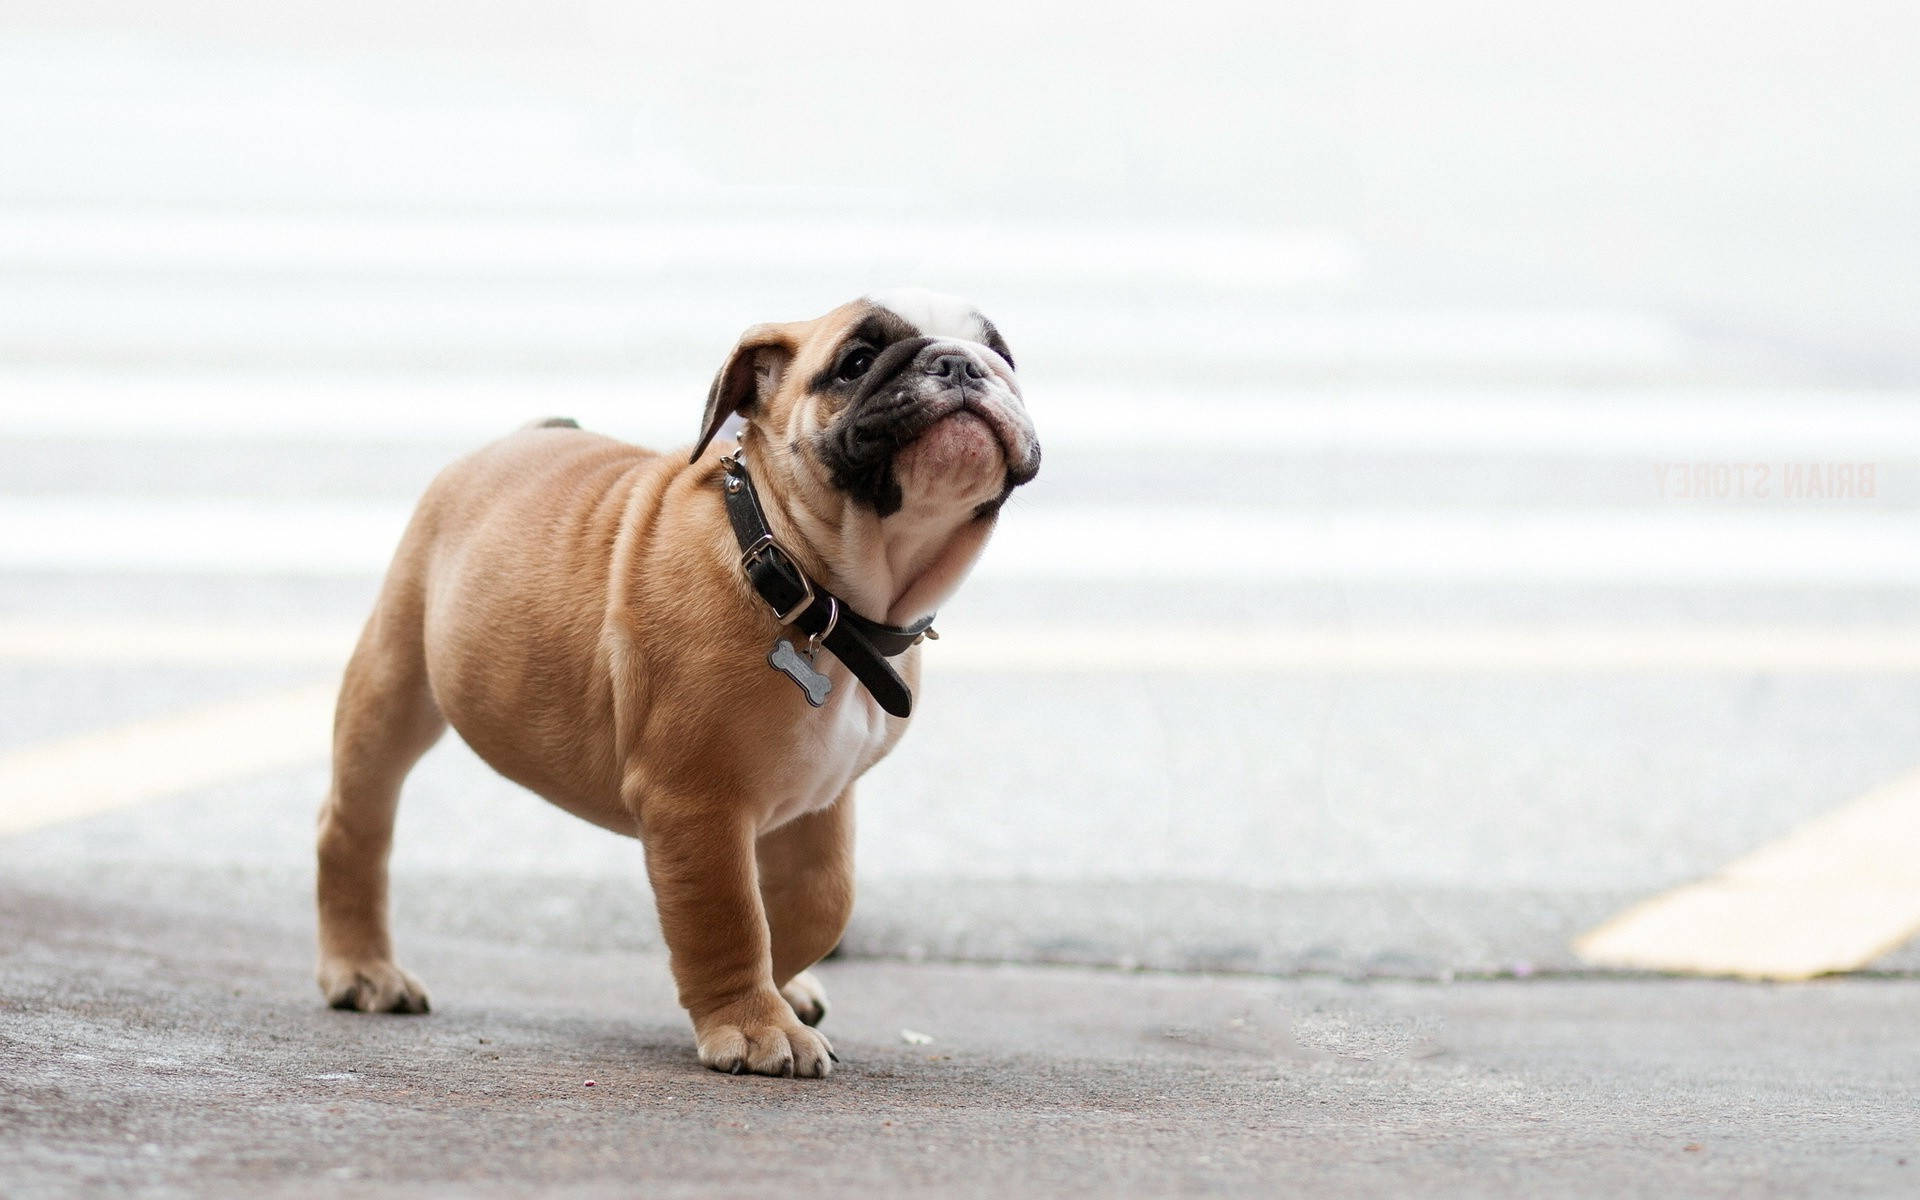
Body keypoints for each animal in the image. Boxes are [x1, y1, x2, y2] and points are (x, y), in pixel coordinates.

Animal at [314, 288, 1036, 1075]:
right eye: (856, 362)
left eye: (1003, 353)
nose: (960, 363)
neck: (803, 576)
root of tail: (522, 436)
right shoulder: (696, 799)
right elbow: (729, 914)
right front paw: (754, 1023)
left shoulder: (821, 796)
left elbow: (819, 900)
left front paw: (779, 983)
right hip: (394, 685)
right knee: (353, 827)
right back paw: (364, 971)